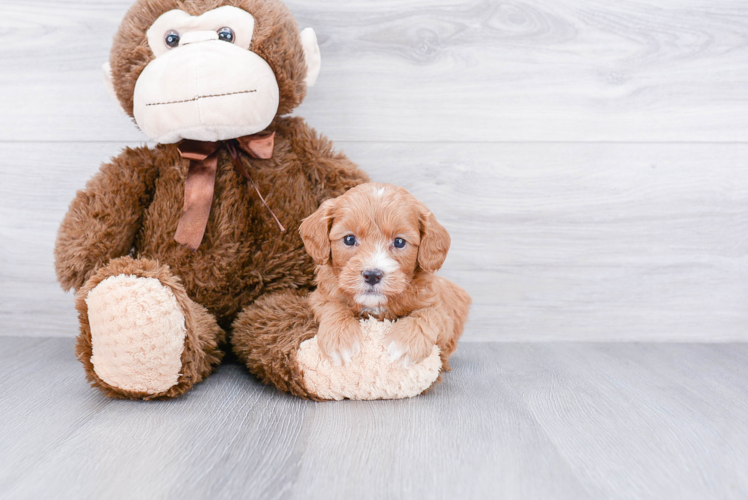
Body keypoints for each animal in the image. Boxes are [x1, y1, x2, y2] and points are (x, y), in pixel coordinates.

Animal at [296, 183, 468, 368]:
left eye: (399, 242)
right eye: (349, 239)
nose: (372, 275)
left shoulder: (441, 311)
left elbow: (429, 314)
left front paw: (404, 344)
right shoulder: (321, 295)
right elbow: (333, 305)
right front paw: (340, 338)